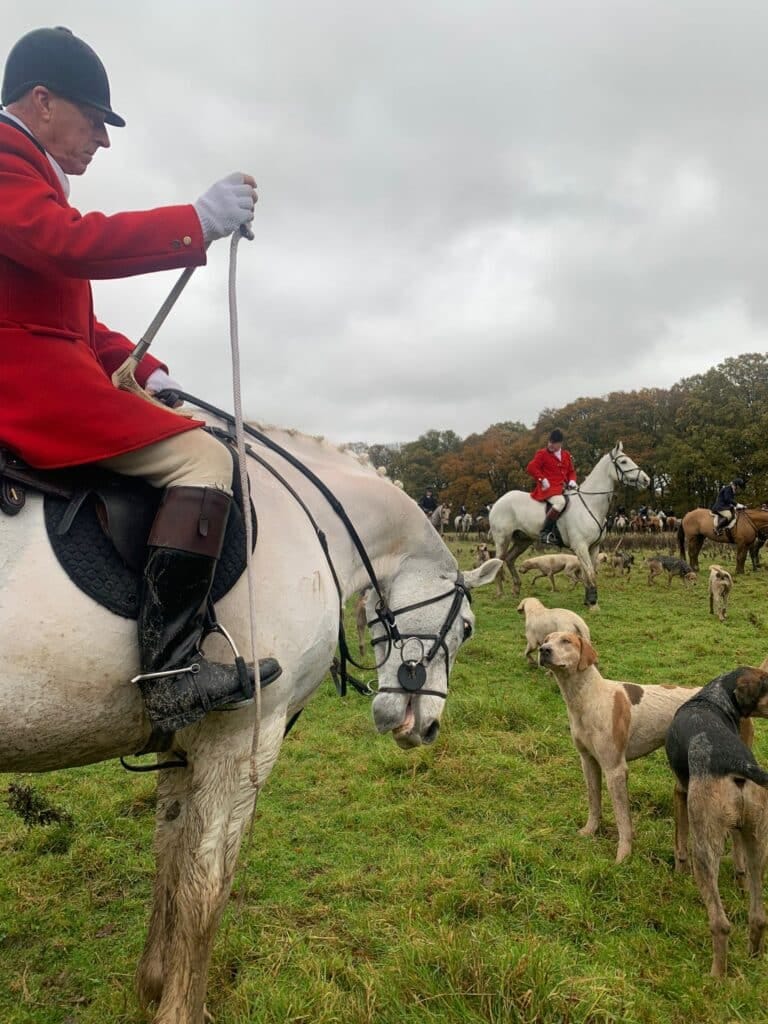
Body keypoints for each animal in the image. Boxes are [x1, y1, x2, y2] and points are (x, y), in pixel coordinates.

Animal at [0, 413, 505, 1024]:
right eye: (468, 628)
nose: (426, 728)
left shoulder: (184, 746)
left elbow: (170, 857)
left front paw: (154, 983)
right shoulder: (239, 742)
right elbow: (206, 887)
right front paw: (181, 1010)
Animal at [493, 442, 651, 606]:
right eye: (624, 462)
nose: (647, 480)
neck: (590, 503)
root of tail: (500, 500)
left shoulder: (594, 547)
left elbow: (590, 573)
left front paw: (588, 599)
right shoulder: (580, 546)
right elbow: (589, 572)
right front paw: (592, 601)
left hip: (523, 540)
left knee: (509, 559)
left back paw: (516, 588)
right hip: (502, 539)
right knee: (498, 562)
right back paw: (500, 593)